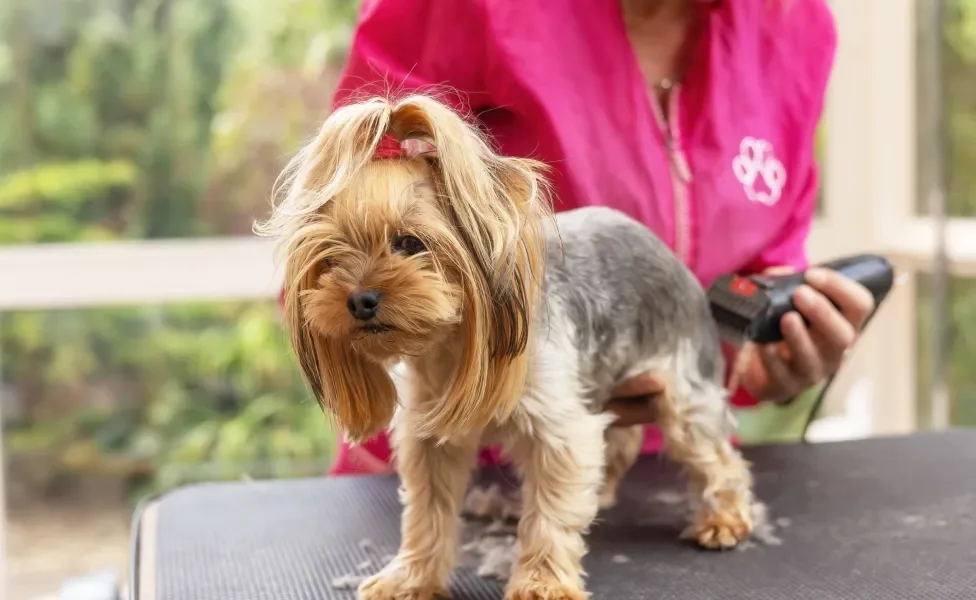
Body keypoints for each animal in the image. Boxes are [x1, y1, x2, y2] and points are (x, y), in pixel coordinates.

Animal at [258, 94, 756, 600]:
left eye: (410, 242)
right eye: (330, 258)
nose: (359, 300)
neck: (453, 344)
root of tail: (673, 259)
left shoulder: (559, 428)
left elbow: (551, 514)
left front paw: (542, 582)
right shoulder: (427, 438)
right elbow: (427, 512)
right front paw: (412, 576)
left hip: (684, 388)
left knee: (715, 454)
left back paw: (724, 518)